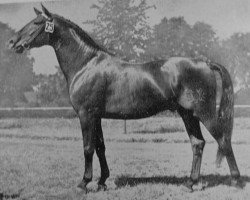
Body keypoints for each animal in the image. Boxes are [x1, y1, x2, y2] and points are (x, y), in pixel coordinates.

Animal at [8, 4, 242, 192]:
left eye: (37, 22)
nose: (12, 42)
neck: (86, 64)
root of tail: (204, 62)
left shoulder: (86, 115)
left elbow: (87, 148)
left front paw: (84, 183)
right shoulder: (97, 116)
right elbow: (100, 147)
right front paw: (102, 182)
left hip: (205, 113)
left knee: (223, 140)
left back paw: (236, 181)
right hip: (188, 115)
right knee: (198, 144)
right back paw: (190, 183)